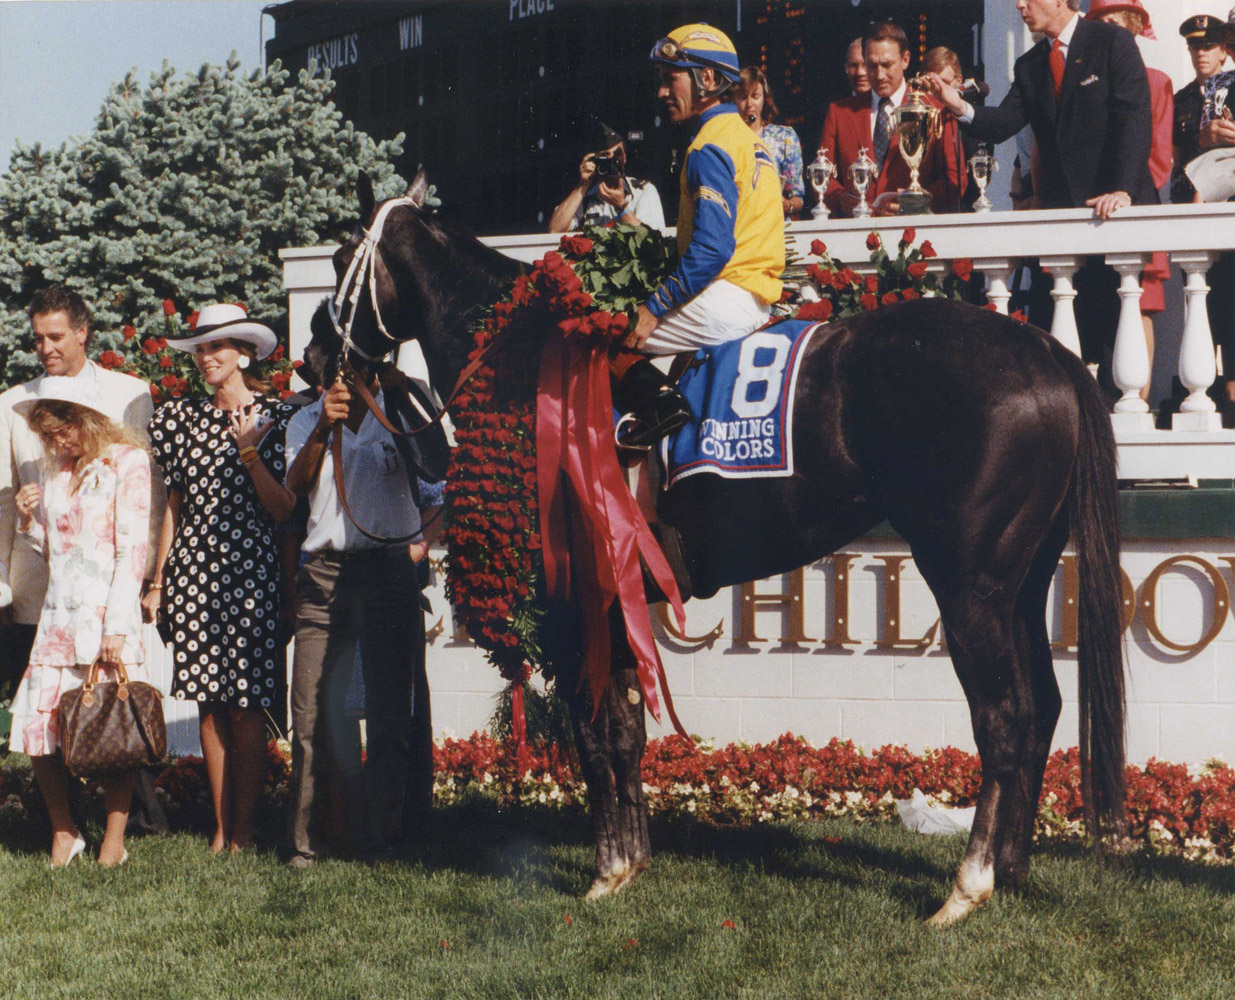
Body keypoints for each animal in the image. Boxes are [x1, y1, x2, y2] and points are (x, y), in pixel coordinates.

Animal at [313, 172, 1126, 928]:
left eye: (341, 258)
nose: (315, 359)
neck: (523, 361)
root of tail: (1047, 351)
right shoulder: (618, 601)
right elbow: (626, 731)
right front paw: (631, 862)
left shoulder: (577, 605)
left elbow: (593, 733)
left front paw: (605, 869)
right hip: (1022, 581)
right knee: (1043, 706)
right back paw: (1011, 872)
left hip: (967, 585)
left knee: (1004, 717)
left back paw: (967, 888)